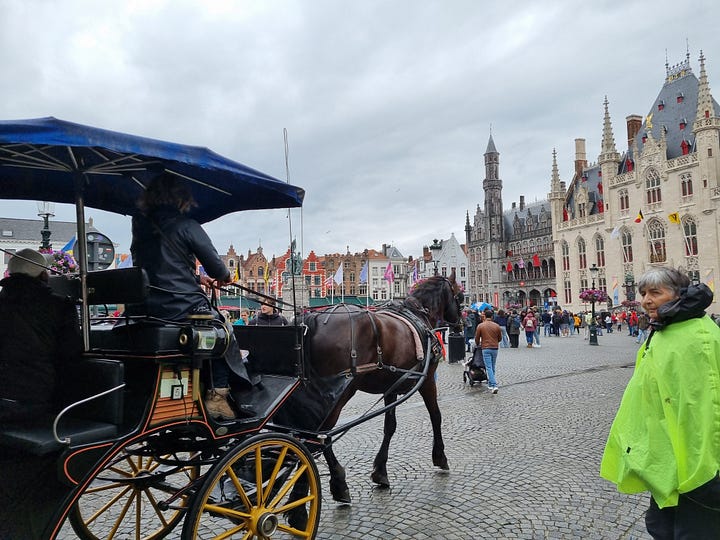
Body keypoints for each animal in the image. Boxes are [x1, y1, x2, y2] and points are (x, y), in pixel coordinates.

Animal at [272, 274, 464, 506]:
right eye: (460, 296)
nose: (461, 325)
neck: (420, 313)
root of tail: (313, 320)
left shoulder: (392, 386)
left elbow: (390, 426)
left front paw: (380, 471)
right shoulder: (427, 380)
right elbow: (436, 415)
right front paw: (440, 457)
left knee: (305, 434)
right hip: (341, 391)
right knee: (318, 435)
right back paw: (330, 488)